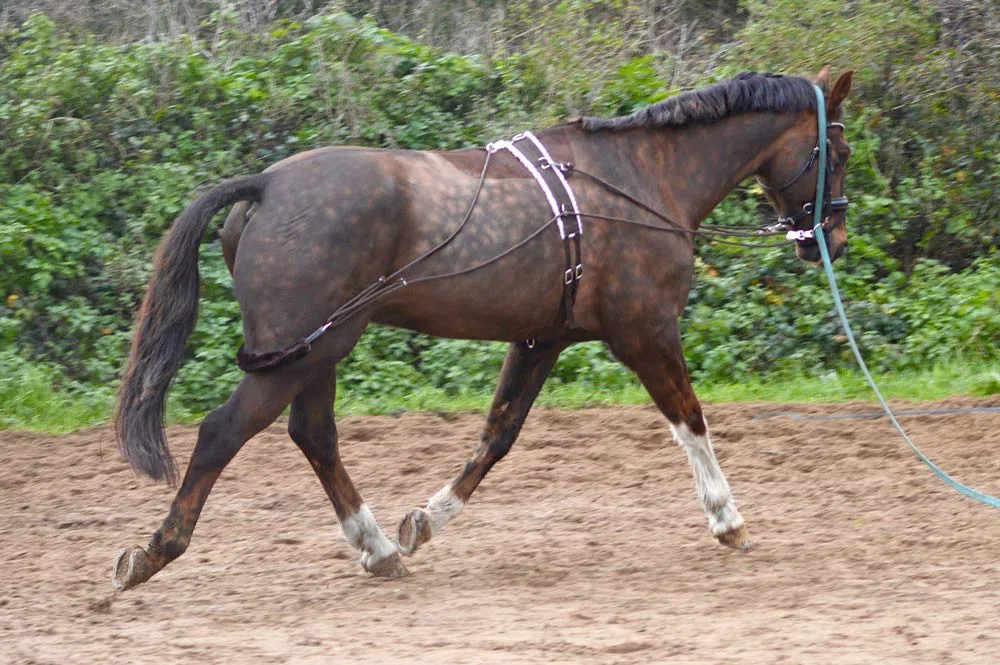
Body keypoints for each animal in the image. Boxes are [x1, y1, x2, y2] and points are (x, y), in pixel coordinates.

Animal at [112, 67, 854, 590]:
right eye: (837, 151)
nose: (834, 238)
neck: (639, 180)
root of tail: (265, 184)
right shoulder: (645, 331)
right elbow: (690, 420)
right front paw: (727, 518)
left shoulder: (540, 339)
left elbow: (498, 435)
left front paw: (424, 521)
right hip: (302, 353)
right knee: (223, 433)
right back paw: (155, 552)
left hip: (318, 351)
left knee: (314, 435)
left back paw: (378, 549)